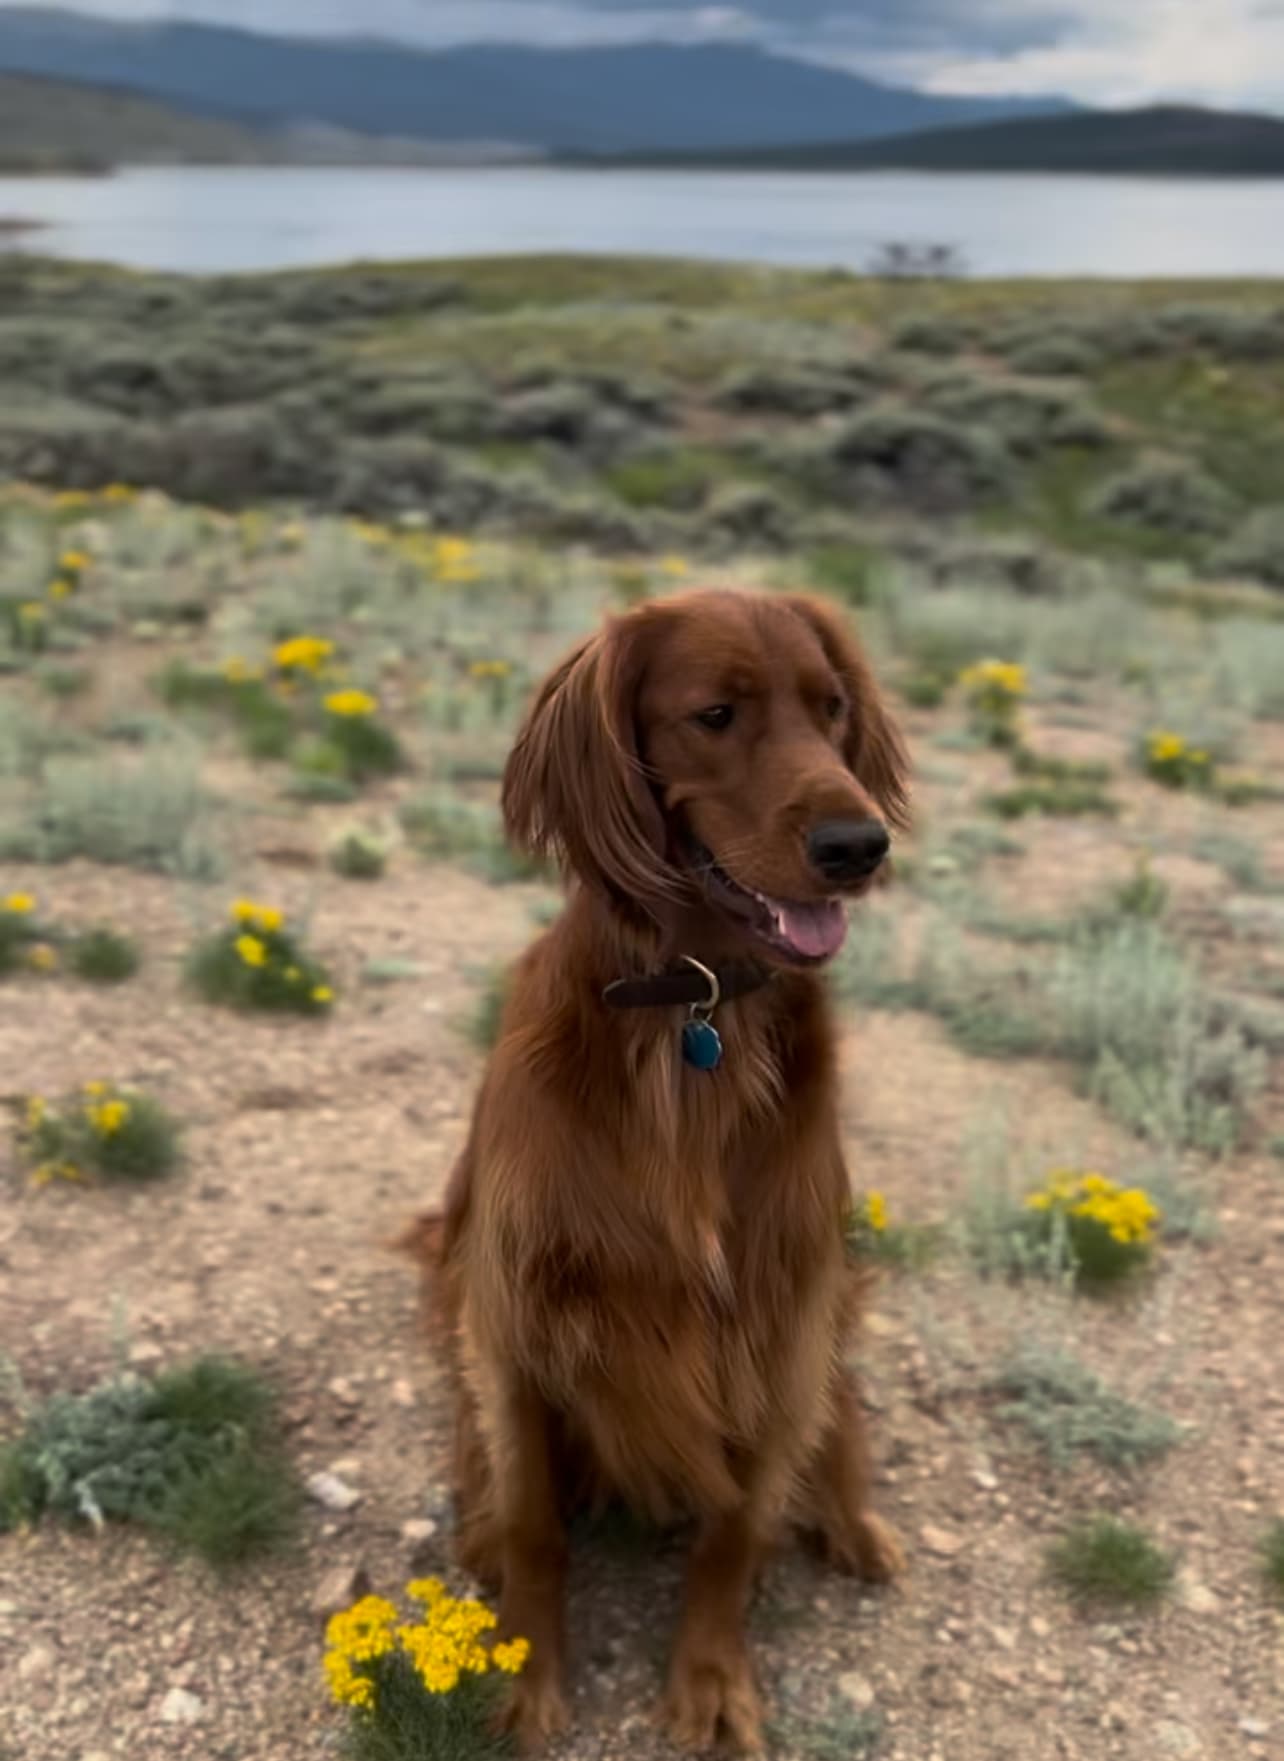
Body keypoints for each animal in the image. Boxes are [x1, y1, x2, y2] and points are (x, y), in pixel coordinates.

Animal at [415, 588, 908, 1746]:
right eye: (715, 713)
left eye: (831, 708)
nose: (859, 843)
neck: (691, 1013)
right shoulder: (516, 1321)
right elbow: (535, 1524)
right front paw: (523, 1679)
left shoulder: (780, 1324)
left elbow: (735, 1533)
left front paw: (713, 1682)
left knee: (837, 1432)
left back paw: (856, 1522)